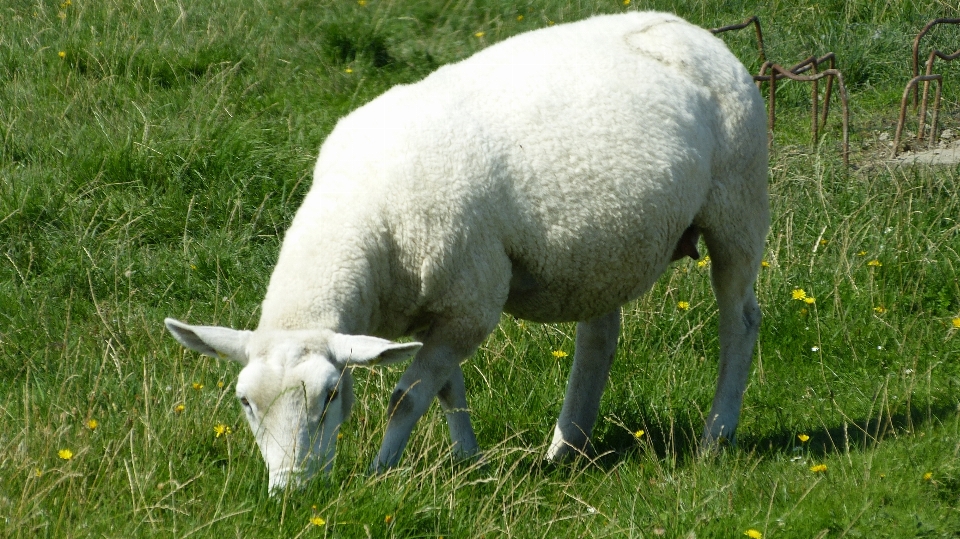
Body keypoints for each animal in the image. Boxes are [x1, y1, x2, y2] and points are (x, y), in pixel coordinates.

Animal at [163, 11, 764, 494]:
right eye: (244, 402)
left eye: (331, 396)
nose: (289, 492)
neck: (362, 210)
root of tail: (687, 28)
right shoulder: (441, 310)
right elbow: (449, 388)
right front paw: (469, 459)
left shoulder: (470, 305)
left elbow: (407, 397)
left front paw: (380, 473)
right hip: (605, 249)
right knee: (599, 338)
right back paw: (565, 448)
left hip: (738, 204)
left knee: (740, 320)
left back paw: (715, 436)